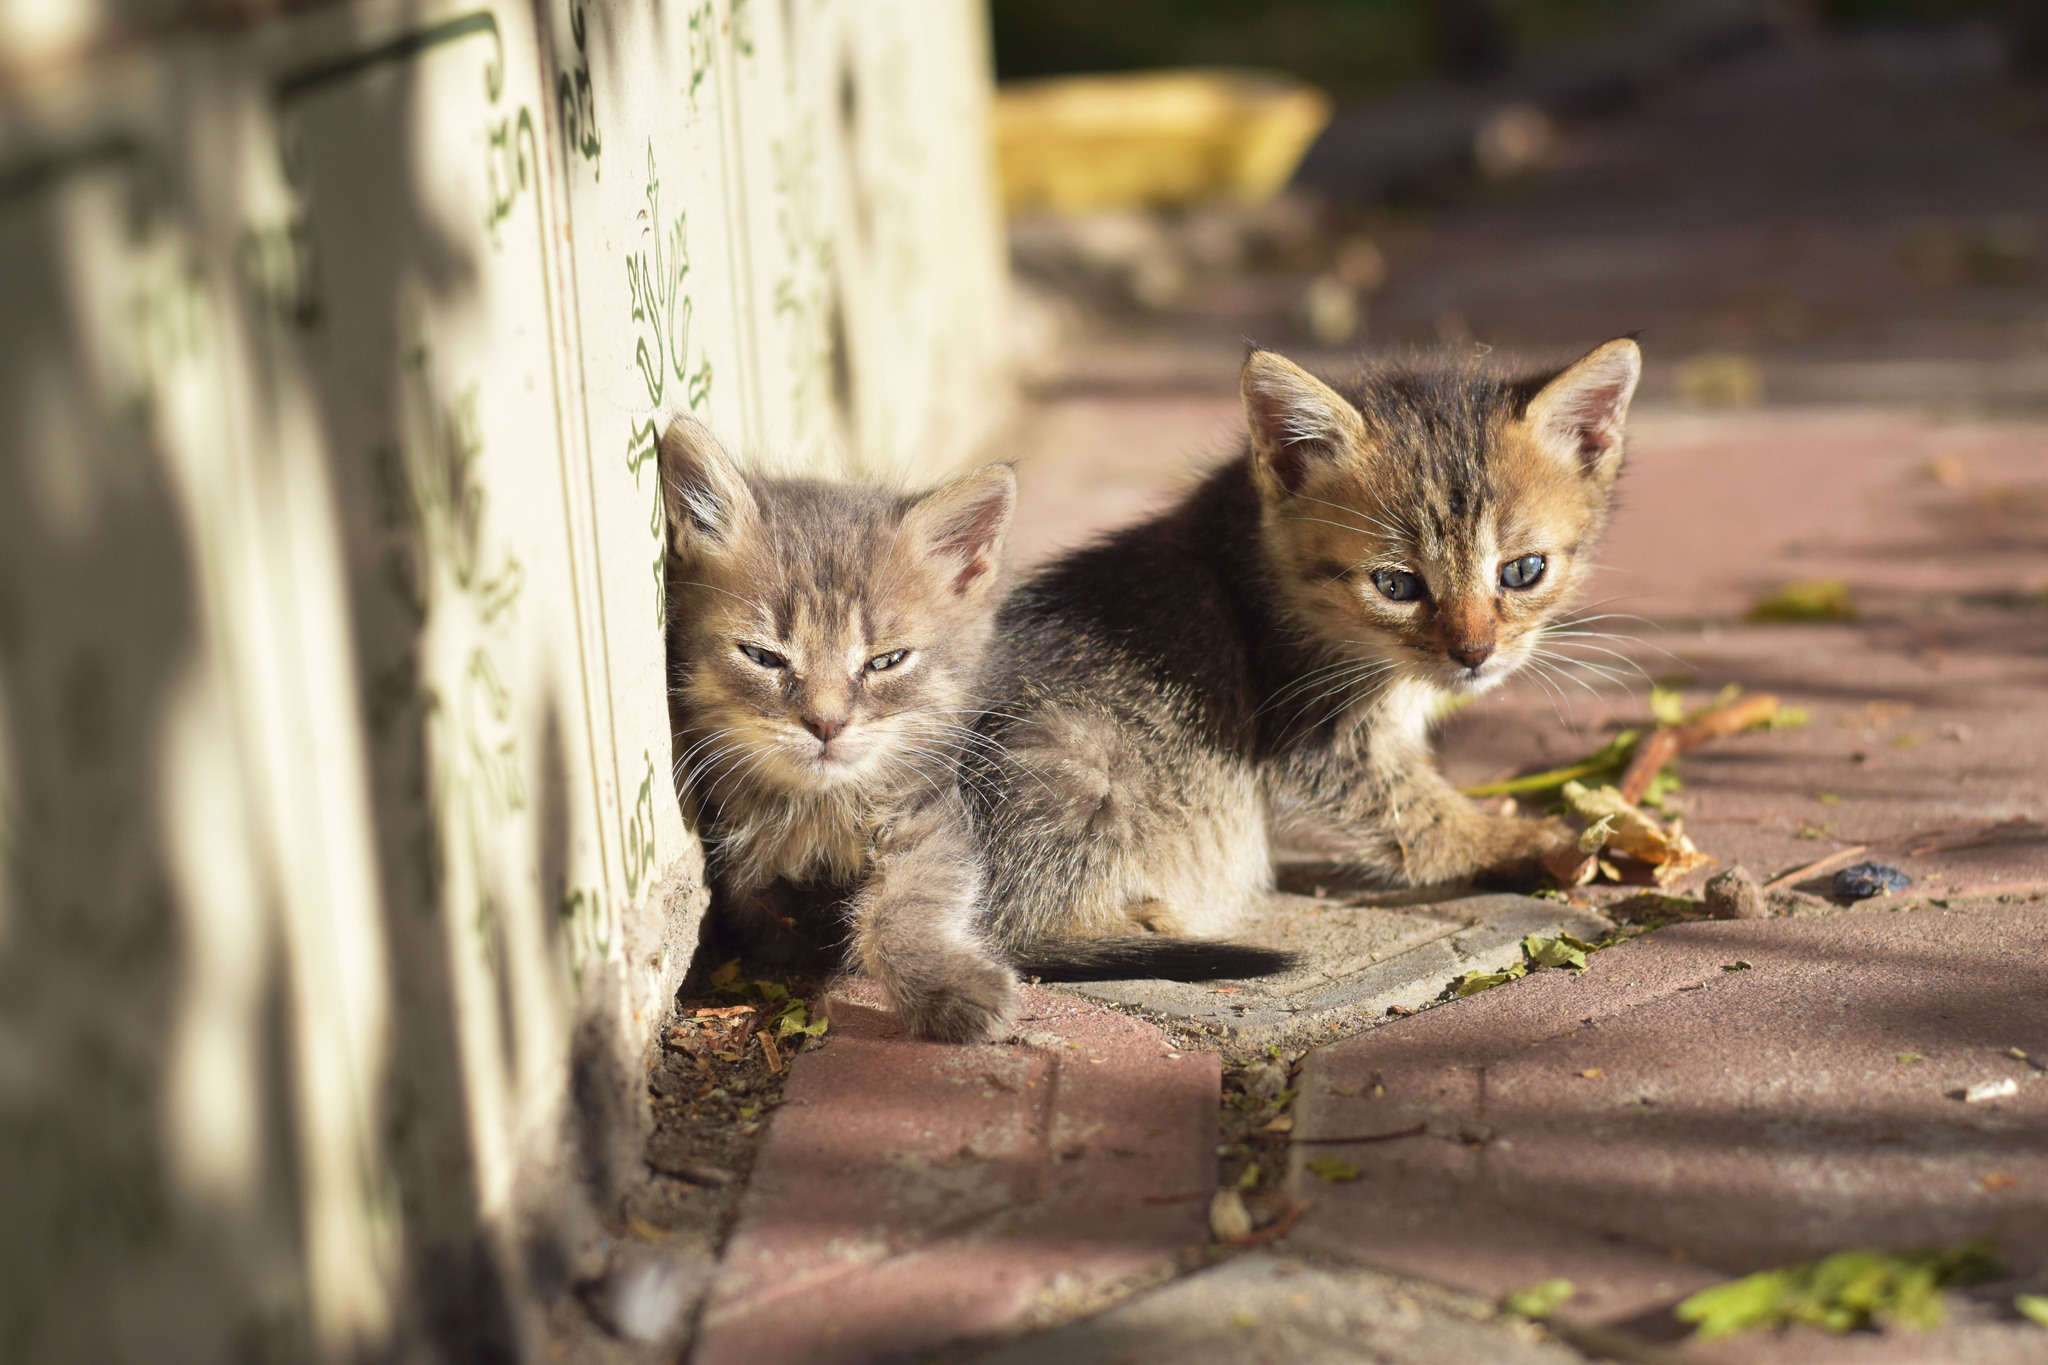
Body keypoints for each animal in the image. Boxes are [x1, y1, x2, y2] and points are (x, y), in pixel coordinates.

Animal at [663, 421, 1024, 1039]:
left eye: (886, 662)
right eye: (763, 657)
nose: (826, 723)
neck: (818, 806)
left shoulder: (928, 812)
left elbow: (903, 906)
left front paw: (946, 984)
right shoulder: (740, 869)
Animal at [962, 337, 1646, 965]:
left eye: (1523, 571)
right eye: (1396, 585)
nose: (1474, 653)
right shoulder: (1313, 737)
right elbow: (1416, 817)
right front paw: (1523, 841)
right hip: (1074, 746)